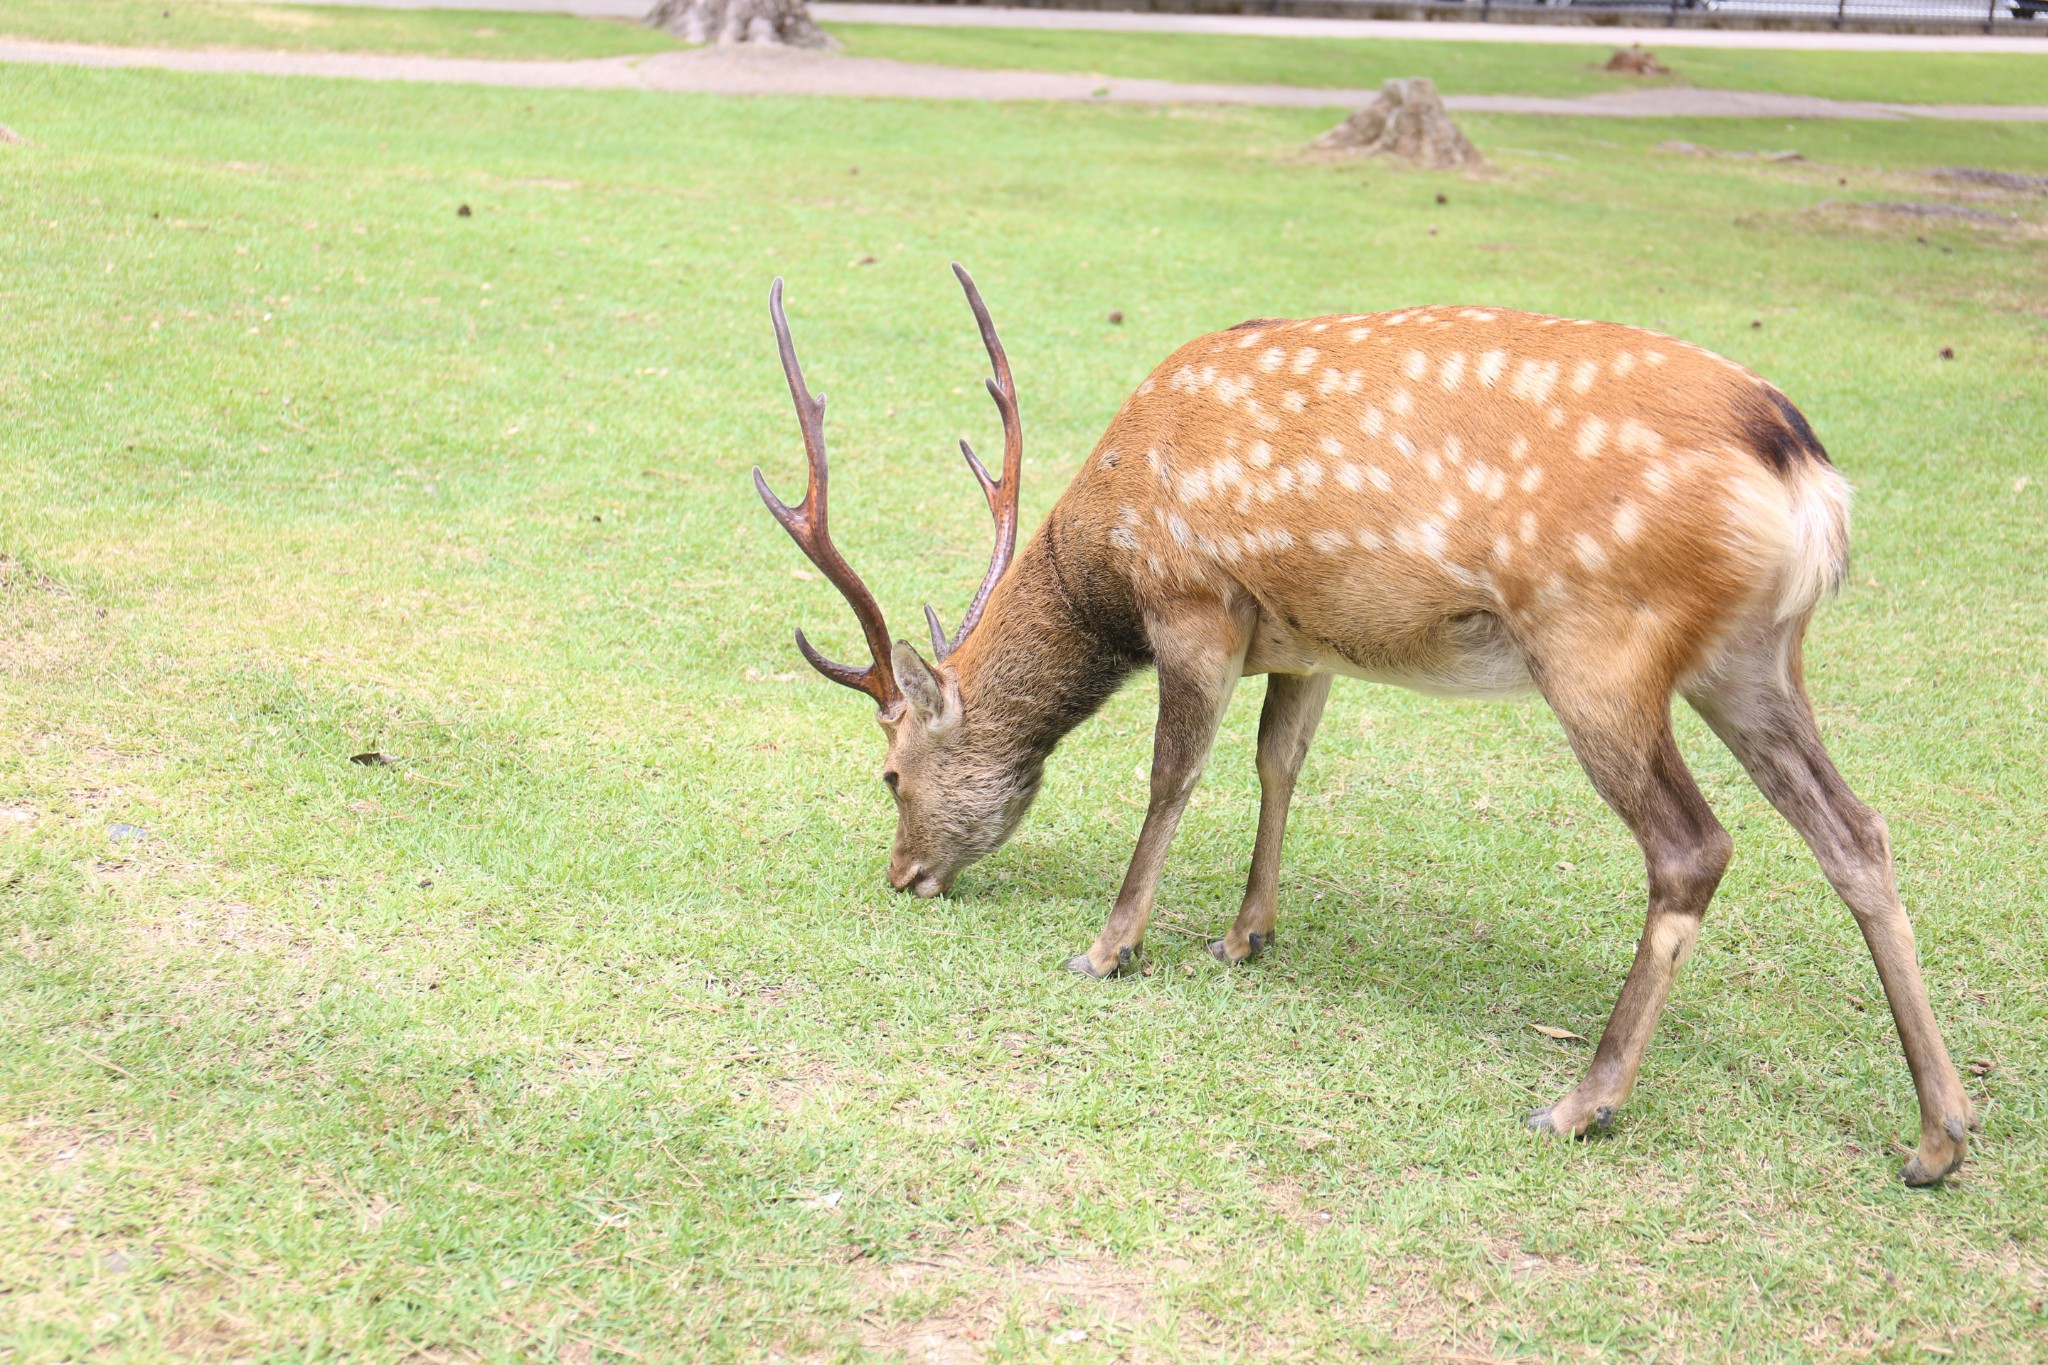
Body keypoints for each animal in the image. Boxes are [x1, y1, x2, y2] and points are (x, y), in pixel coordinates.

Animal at [757, 266, 1982, 1186]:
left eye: (887, 772)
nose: (902, 875)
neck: (1109, 550)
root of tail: (1804, 468)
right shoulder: (1305, 642)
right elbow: (1278, 762)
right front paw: (1244, 934)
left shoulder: (1194, 604)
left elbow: (1173, 776)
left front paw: (1109, 946)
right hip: (1751, 657)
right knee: (1855, 831)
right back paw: (1938, 1137)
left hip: (1599, 641)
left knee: (1693, 846)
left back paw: (1579, 1102)